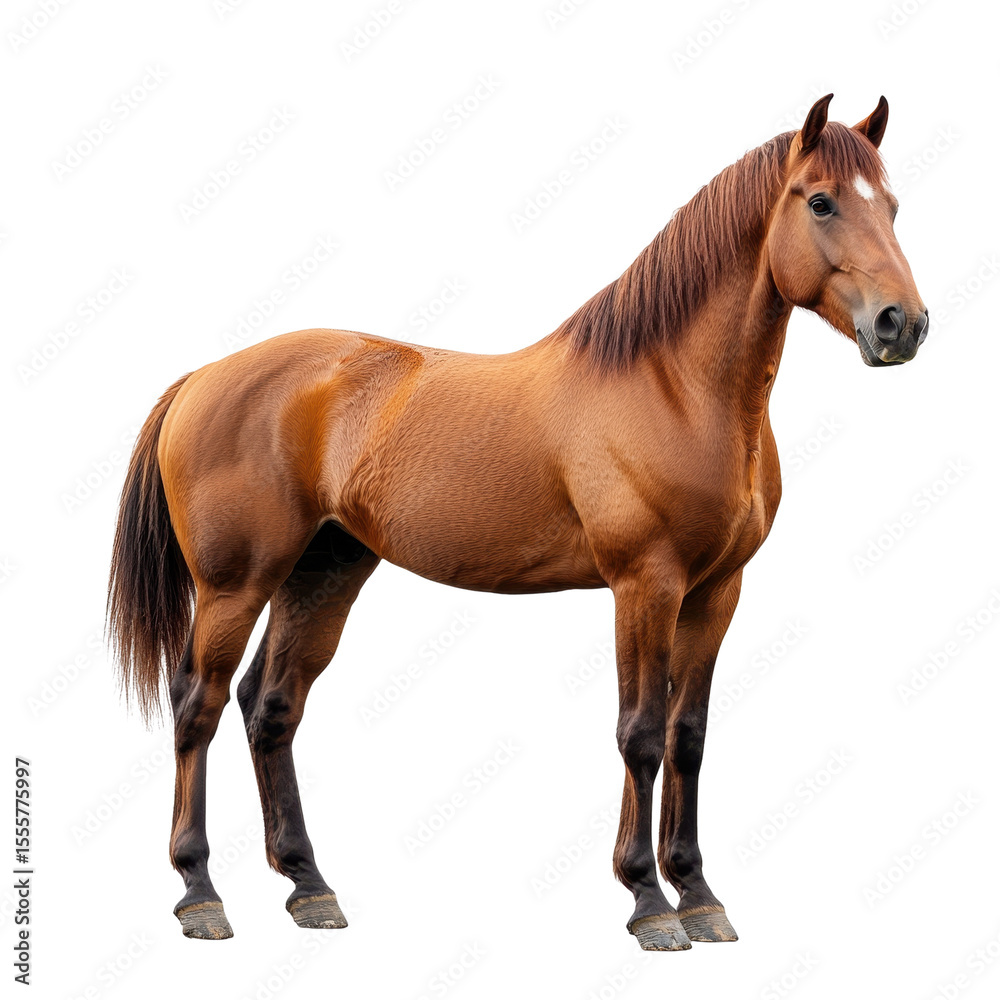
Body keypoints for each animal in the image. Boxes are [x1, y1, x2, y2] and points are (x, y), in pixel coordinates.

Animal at [108, 93, 927, 951]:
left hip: (324, 570)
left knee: (270, 706)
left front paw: (700, 896)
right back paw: (200, 894)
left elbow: (688, 735)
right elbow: (640, 733)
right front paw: (648, 902)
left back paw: (309, 887)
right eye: (822, 202)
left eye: (893, 206)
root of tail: (205, 375)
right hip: (234, 584)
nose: (902, 325)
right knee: (197, 703)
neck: (673, 388)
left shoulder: (716, 592)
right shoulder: (645, 585)